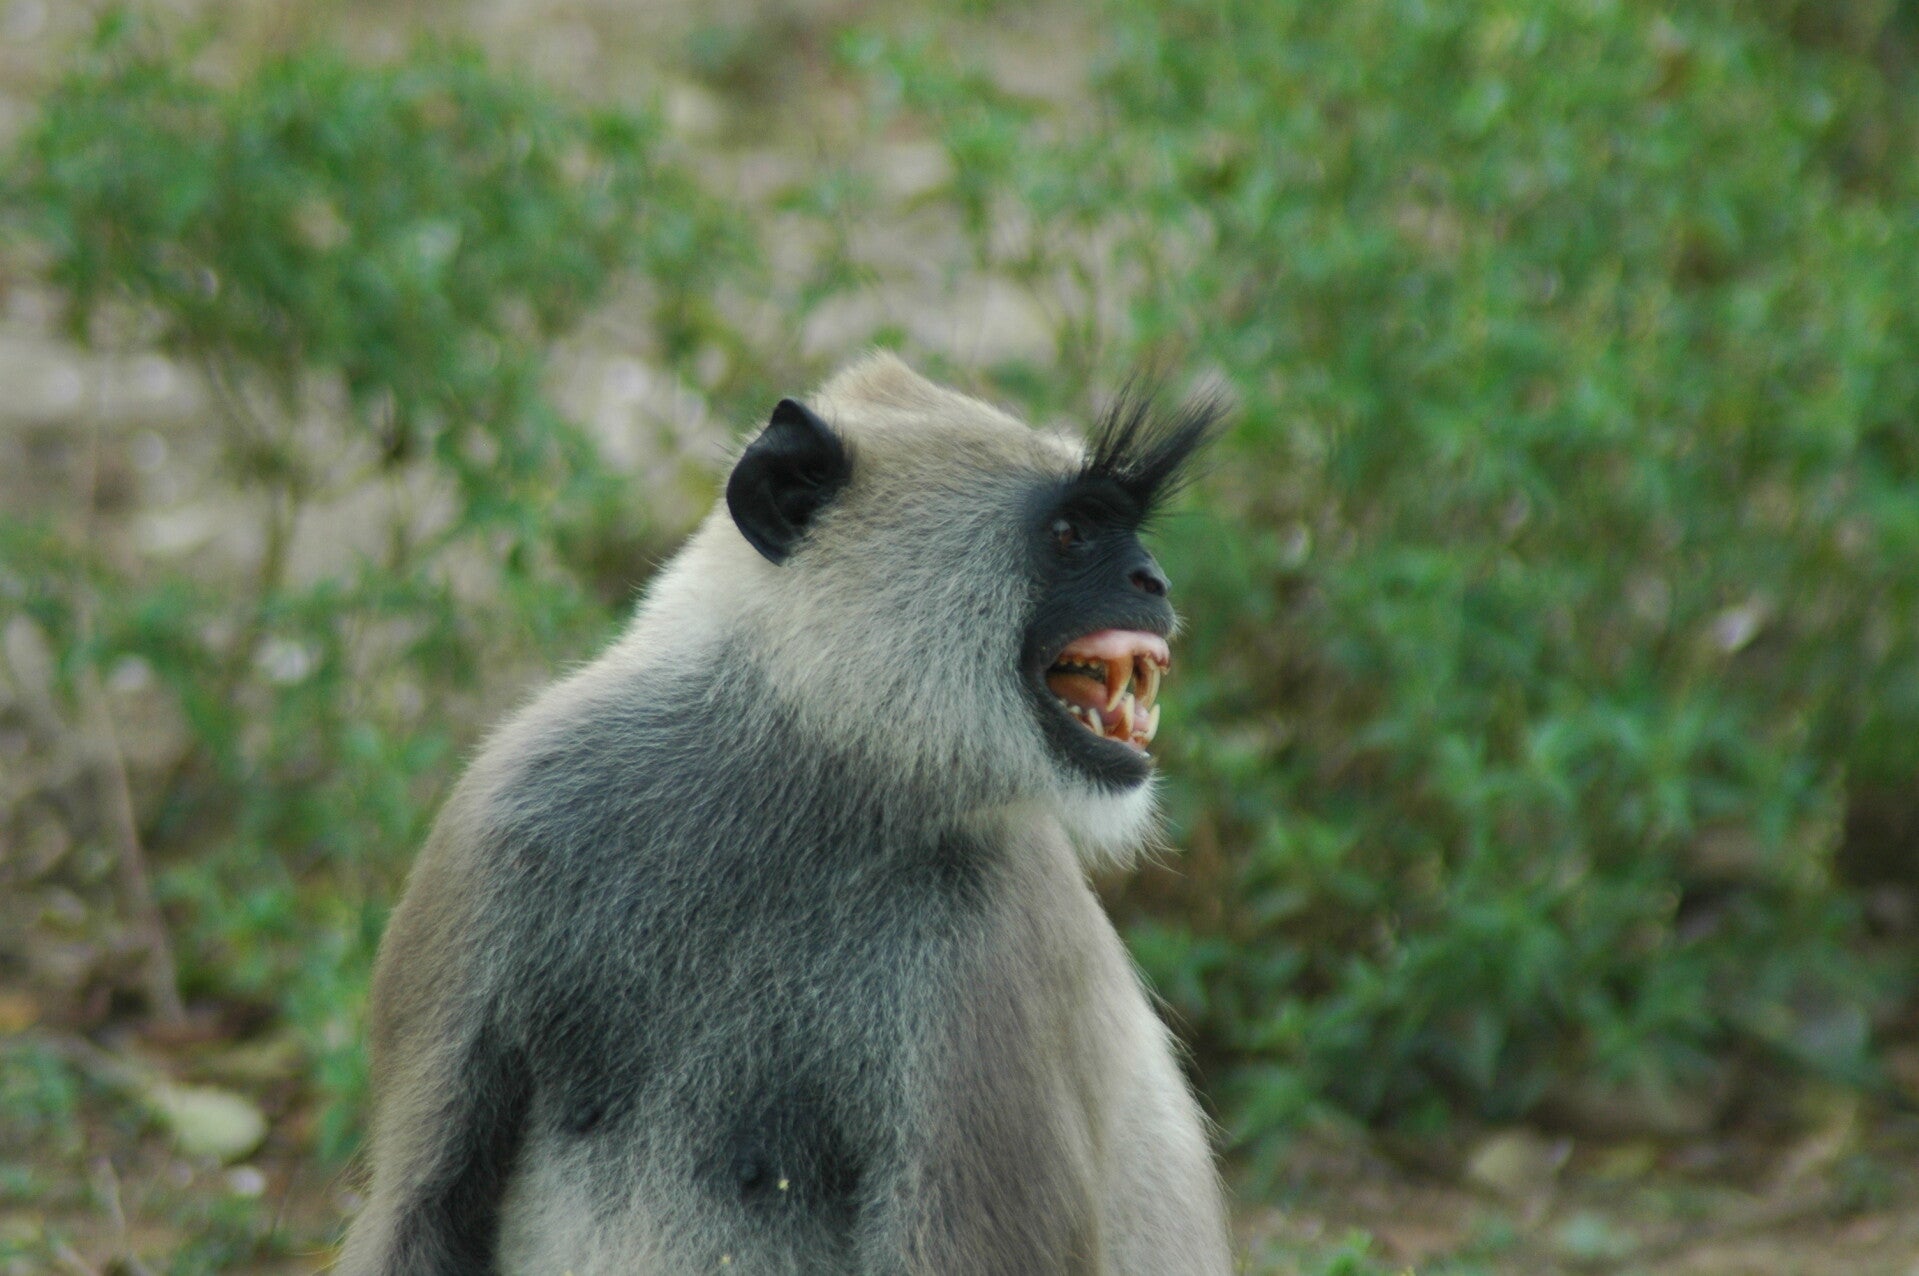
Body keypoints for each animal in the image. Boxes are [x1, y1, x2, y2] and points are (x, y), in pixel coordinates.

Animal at [335, 353, 1233, 1275]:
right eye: (1071, 533)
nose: (1152, 582)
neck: (797, 778)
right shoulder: (506, 818)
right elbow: (420, 1208)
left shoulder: (1002, 928)